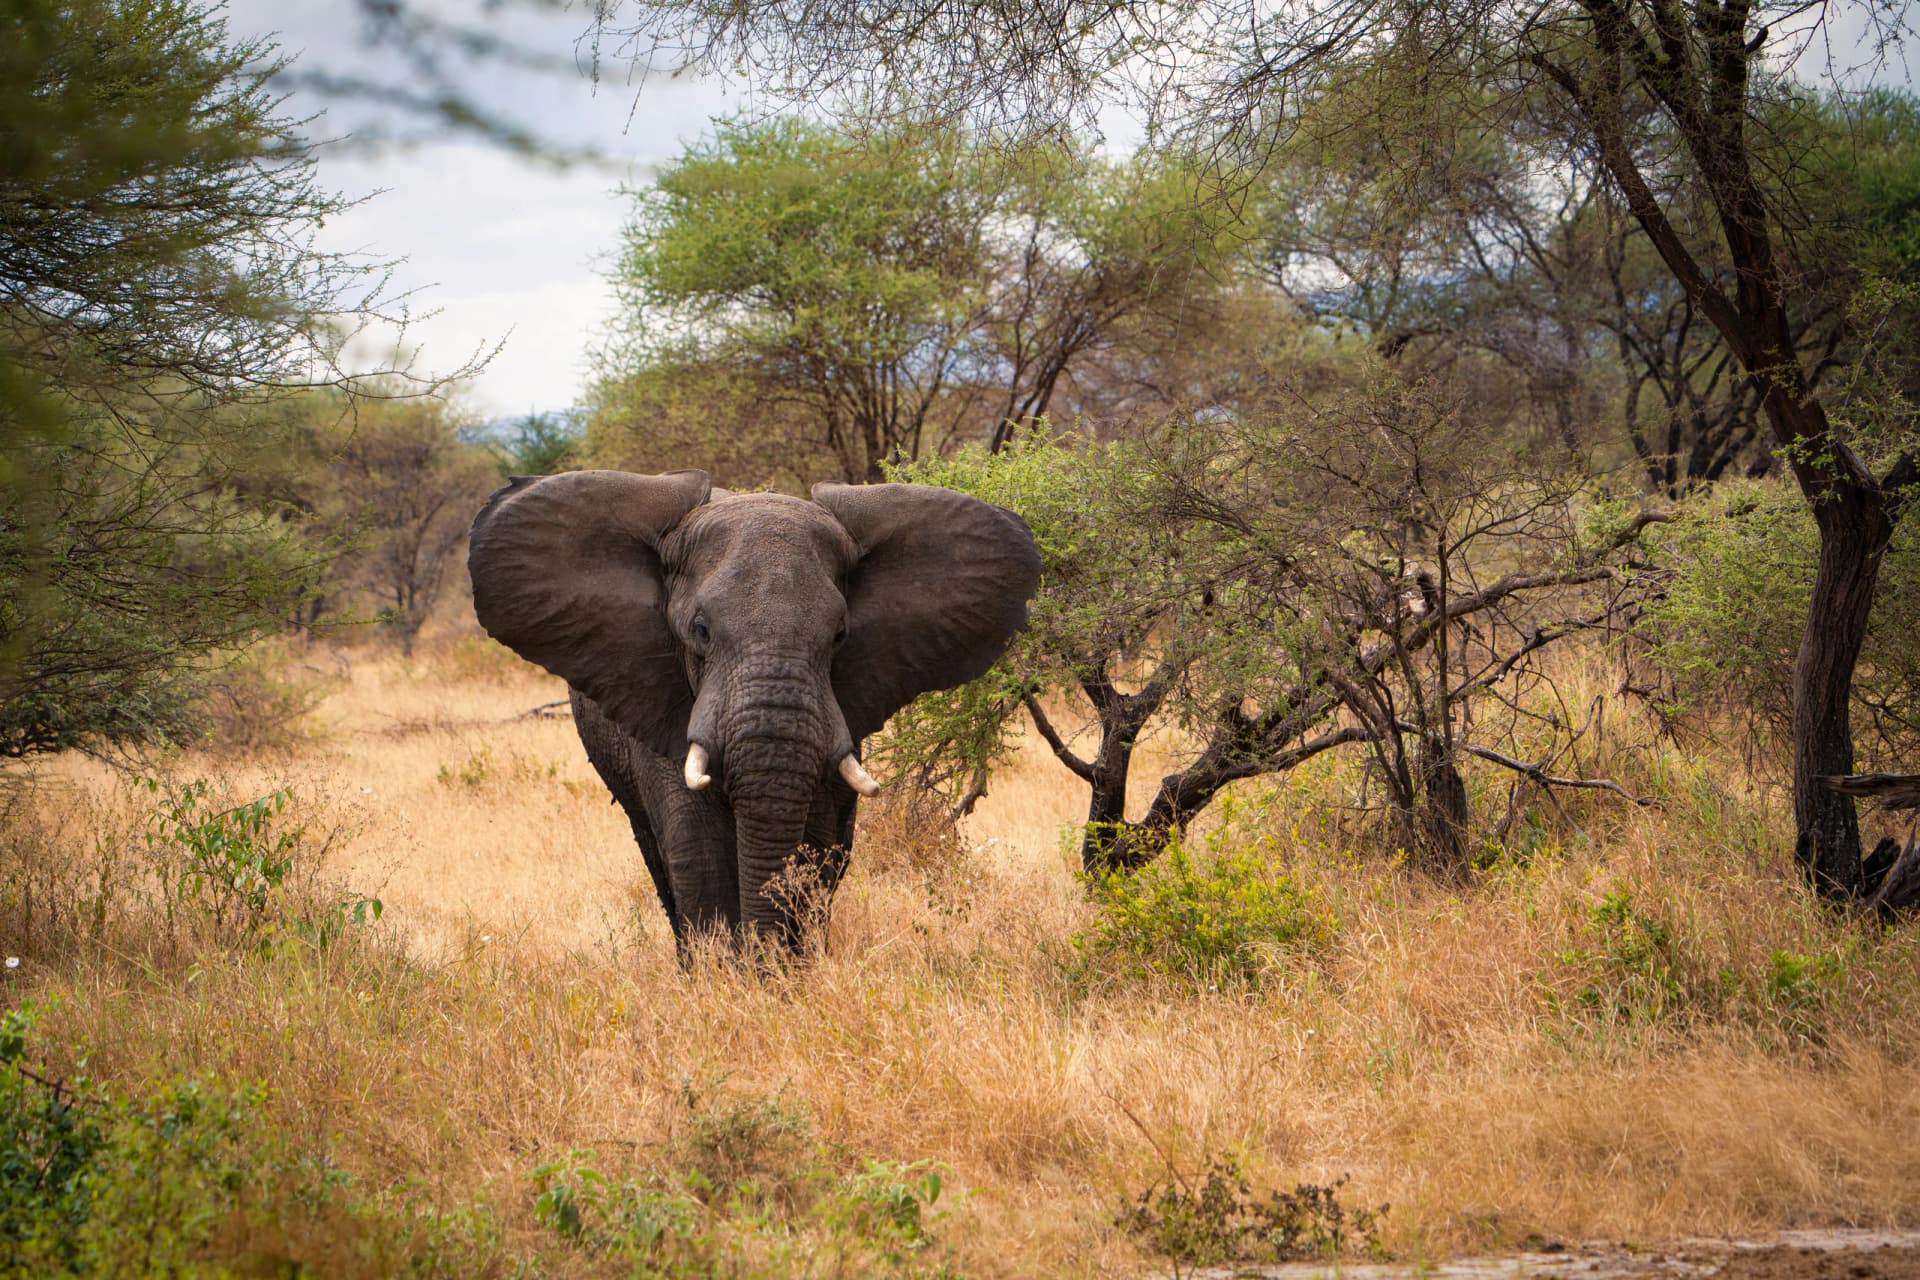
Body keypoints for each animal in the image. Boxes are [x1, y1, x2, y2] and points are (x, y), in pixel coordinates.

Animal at [466, 468, 1042, 952]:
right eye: (699, 631)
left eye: (840, 635)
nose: (766, 962)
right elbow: (698, 850)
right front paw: (726, 983)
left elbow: (816, 846)